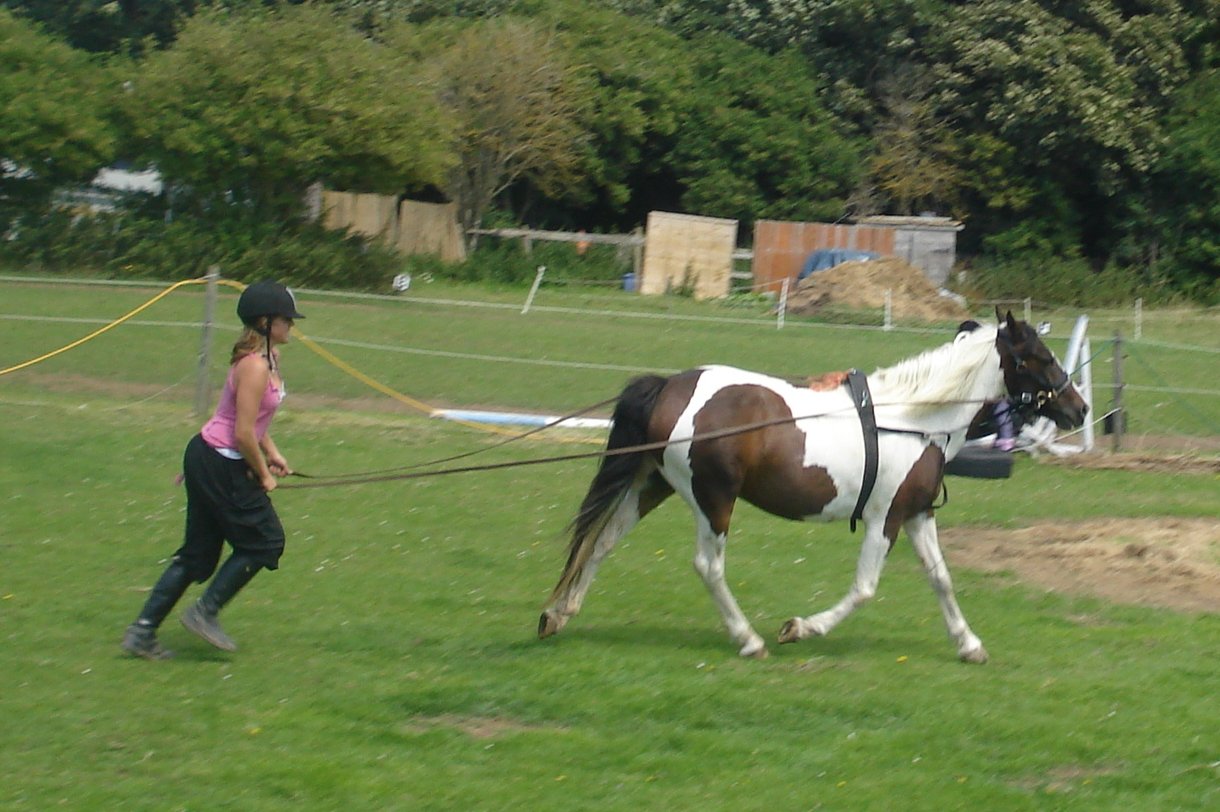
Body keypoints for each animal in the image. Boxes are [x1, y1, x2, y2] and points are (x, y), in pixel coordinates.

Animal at [539, 311, 1088, 661]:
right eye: (1040, 357)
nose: (1078, 408)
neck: (913, 419)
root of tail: (672, 385)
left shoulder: (916, 513)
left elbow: (941, 578)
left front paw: (968, 644)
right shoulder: (885, 519)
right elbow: (864, 589)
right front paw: (800, 628)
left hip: (653, 485)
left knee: (601, 540)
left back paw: (559, 614)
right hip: (713, 500)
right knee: (707, 567)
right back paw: (748, 639)